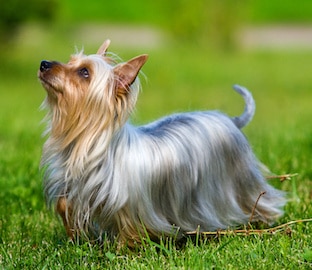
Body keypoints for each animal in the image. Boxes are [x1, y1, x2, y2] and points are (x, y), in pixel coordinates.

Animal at [38, 40, 286, 247]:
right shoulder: (74, 188)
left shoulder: (130, 207)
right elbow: (64, 206)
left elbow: (129, 228)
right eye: (70, 61)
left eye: (84, 72)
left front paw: (123, 250)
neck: (88, 143)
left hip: (240, 182)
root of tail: (231, 120)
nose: (43, 63)